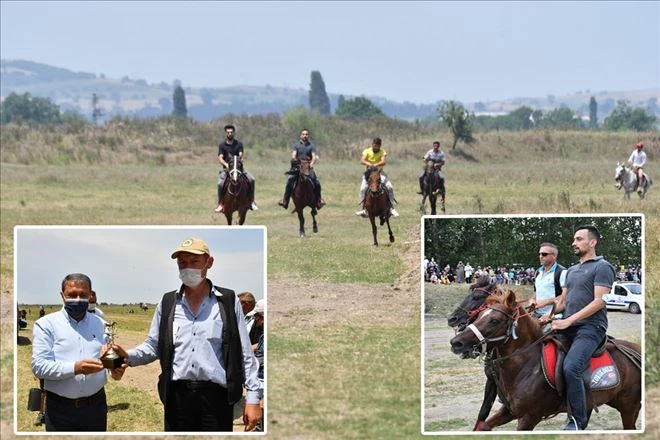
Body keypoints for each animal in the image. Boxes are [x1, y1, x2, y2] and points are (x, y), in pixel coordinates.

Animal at [448, 290, 640, 432]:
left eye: (494, 320)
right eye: (480, 314)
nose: (456, 342)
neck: (526, 366)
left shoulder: (529, 418)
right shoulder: (510, 410)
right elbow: (483, 425)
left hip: (629, 407)